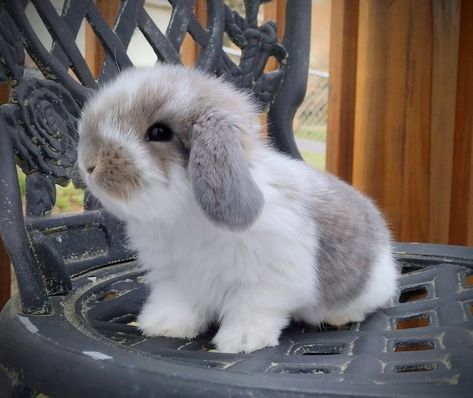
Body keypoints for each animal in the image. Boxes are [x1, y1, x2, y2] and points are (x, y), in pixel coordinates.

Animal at [78, 63, 398, 352]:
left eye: (158, 132)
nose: (89, 164)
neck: (183, 216)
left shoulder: (264, 285)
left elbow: (252, 312)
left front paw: (241, 342)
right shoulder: (175, 279)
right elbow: (177, 304)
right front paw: (163, 326)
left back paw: (340, 316)